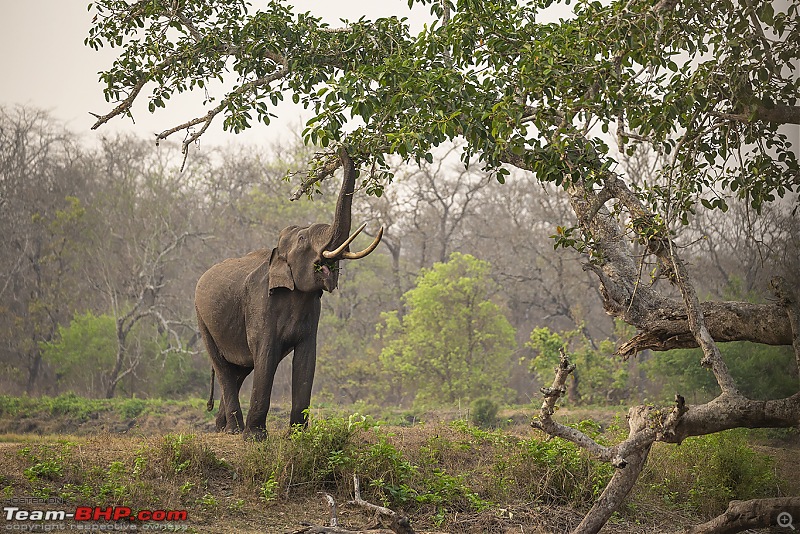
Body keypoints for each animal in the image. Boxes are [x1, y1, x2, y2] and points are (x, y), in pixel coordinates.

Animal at [195, 149, 382, 442]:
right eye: (303, 239)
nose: (343, 149)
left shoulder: (312, 314)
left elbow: (306, 361)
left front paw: (297, 437)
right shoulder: (260, 305)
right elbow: (266, 357)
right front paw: (256, 438)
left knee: (239, 371)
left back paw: (223, 428)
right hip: (203, 321)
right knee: (225, 368)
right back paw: (235, 431)